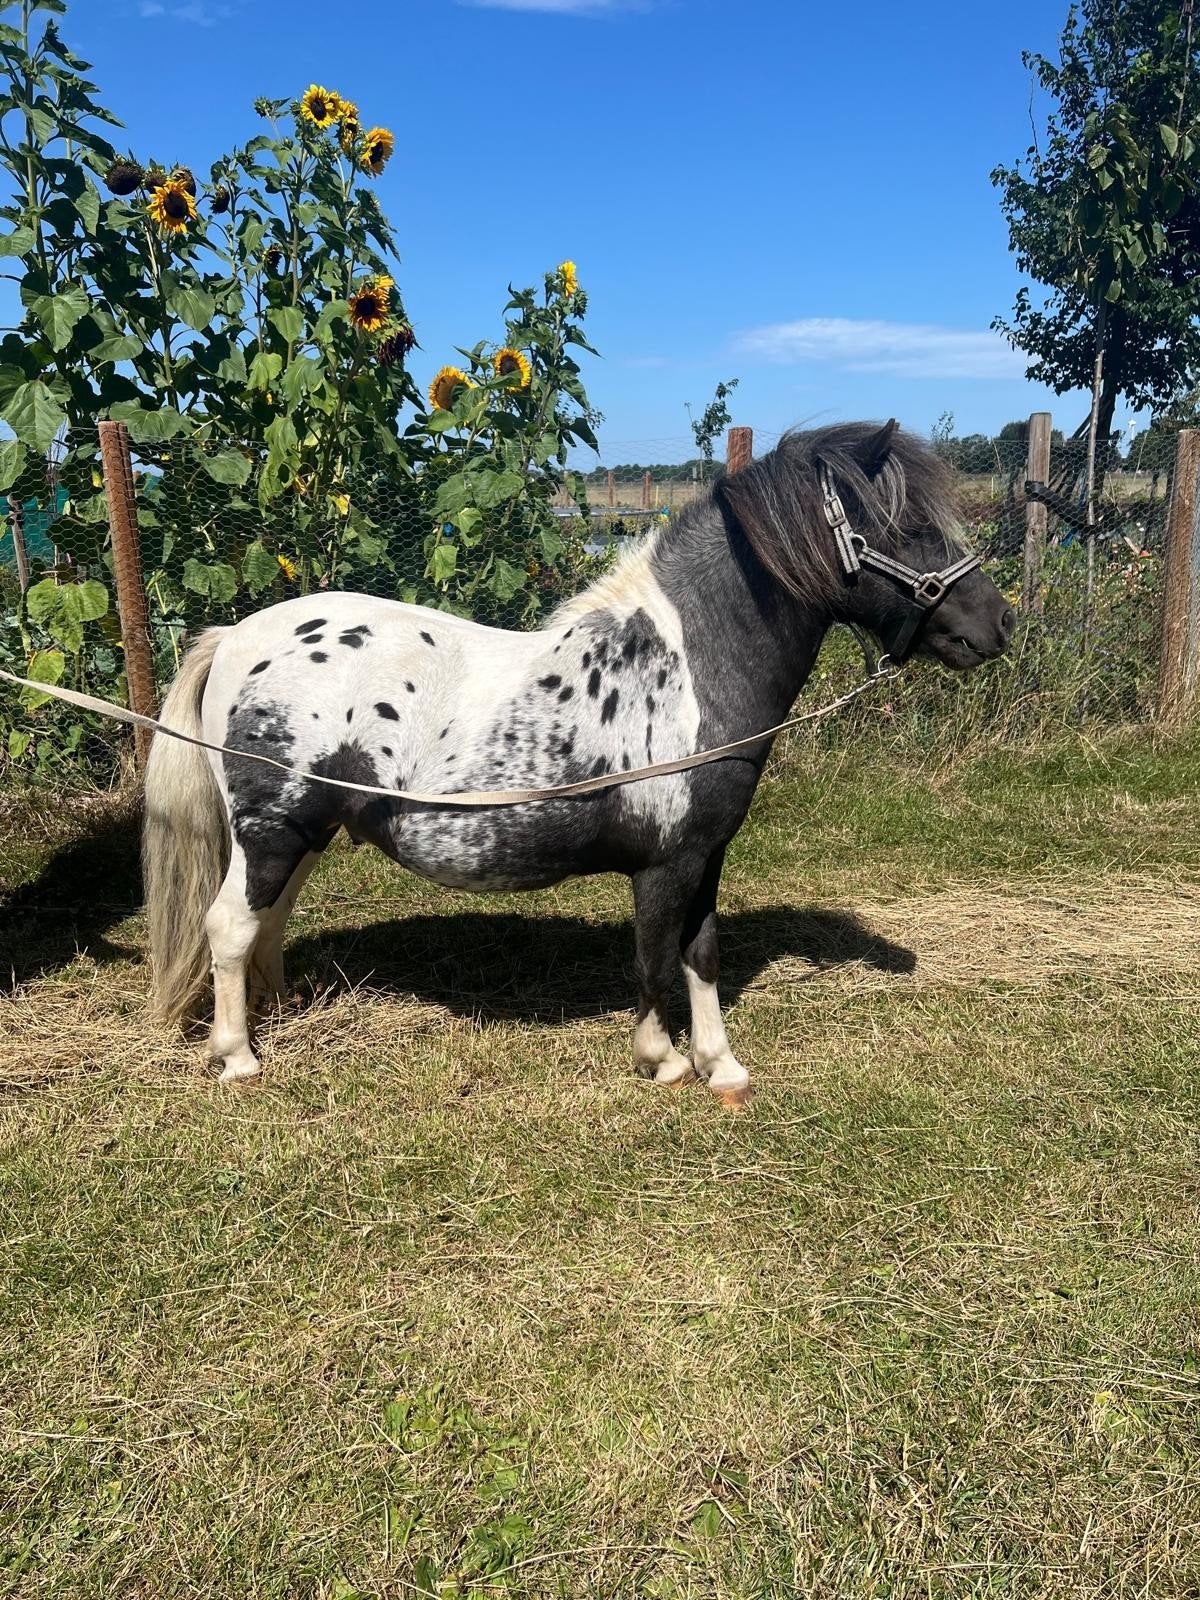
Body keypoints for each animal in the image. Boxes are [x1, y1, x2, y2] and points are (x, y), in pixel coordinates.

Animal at [142, 420, 1015, 1106]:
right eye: (906, 526)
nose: (996, 626)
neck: (687, 664)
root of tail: (235, 639)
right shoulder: (665, 864)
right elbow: (655, 957)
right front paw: (663, 1059)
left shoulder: (706, 853)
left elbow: (701, 953)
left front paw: (722, 1066)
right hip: (274, 831)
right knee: (231, 926)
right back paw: (238, 1058)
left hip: (304, 833)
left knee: (268, 921)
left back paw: (277, 1012)